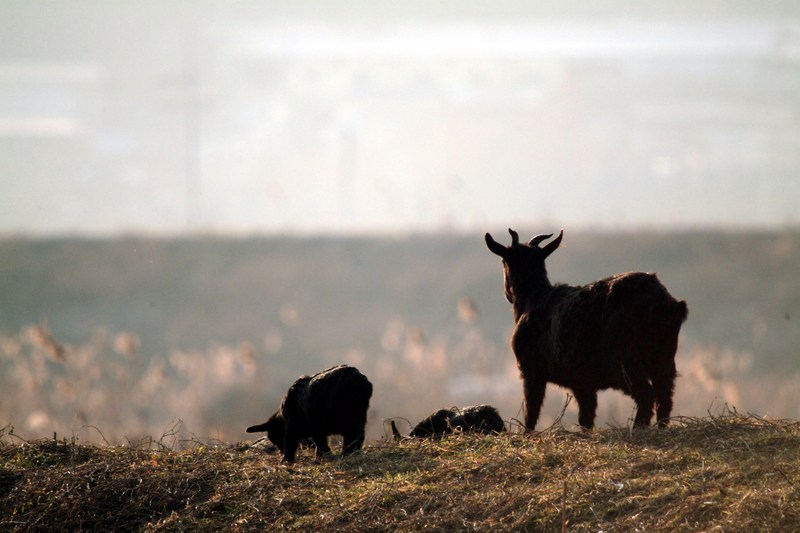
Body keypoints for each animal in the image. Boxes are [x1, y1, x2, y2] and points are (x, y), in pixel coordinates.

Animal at [484, 228, 692, 428]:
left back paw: (638, 429)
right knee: (665, 396)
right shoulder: (582, 382)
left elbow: (531, 412)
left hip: (626, 360)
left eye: (503, 260)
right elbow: (586, 418)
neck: (532, 298)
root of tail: (667, 304)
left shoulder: (532, 369)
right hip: (664, 358)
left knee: (646, 395)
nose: (507, 294)